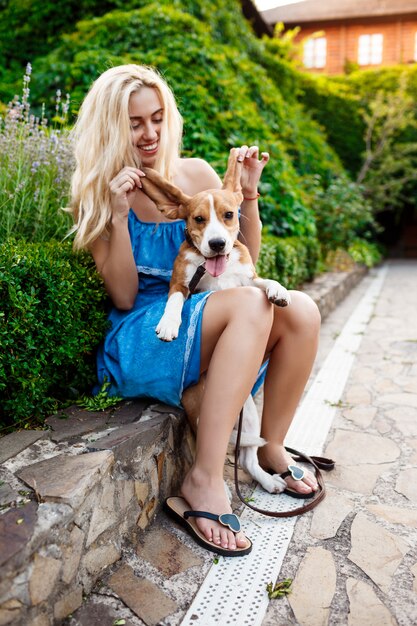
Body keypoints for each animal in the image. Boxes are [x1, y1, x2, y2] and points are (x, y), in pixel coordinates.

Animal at [140, 150, 290, 492]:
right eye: (198, 219)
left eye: (229, 215)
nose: (218, 243)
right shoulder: (180, 283)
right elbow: (175, 301)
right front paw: (169, 324)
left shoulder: (248, 280)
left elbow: (264, 281)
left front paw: (278, 290)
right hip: (206, 412)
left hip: (249, 414)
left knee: (247, 458)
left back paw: (268, 480)